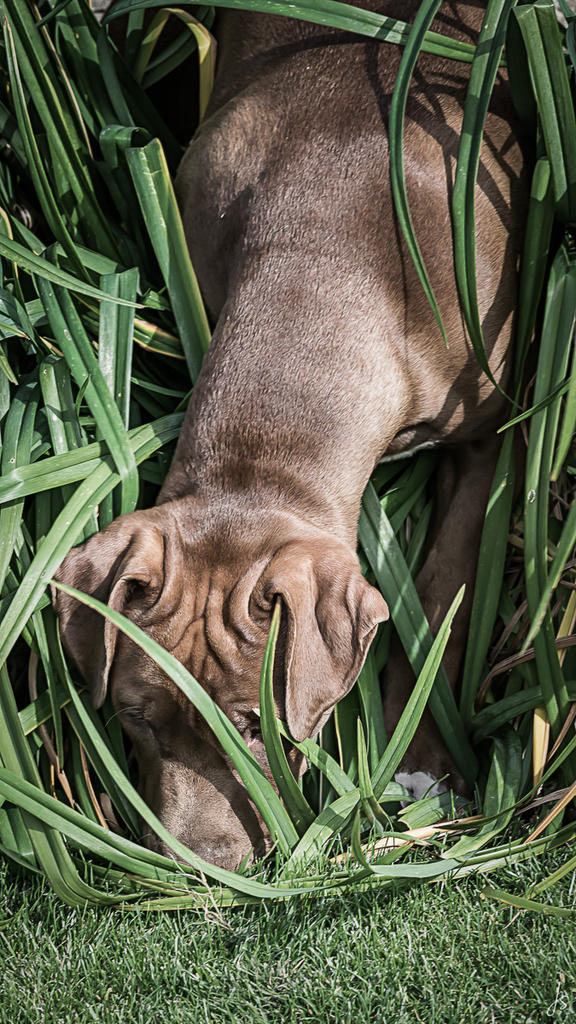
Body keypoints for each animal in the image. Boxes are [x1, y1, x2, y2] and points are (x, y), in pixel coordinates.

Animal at [53, 1, 526, 868]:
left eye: (253, 726)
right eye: (135, 717)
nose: (203, 870)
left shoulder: (494, 427)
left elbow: (445, 583)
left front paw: (420, 759)